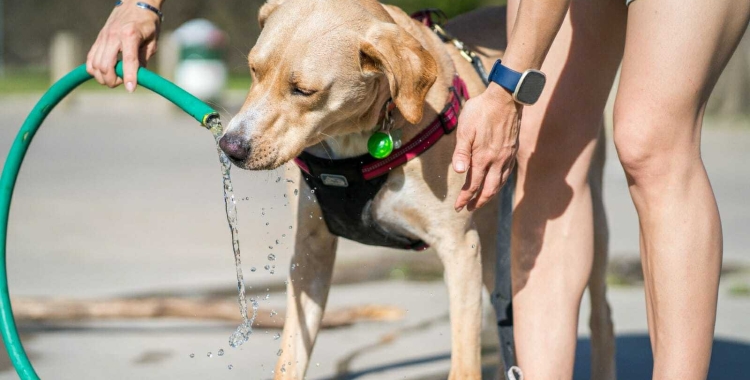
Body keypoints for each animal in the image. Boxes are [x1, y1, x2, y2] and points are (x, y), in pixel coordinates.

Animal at [219, 1, 616, 378]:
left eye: (303, 90)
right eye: (253, 70)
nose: (230, 146)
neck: (357, 143)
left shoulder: (460, 247)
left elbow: (464, 363)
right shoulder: (310, 251)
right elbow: (290, 358)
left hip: (584, 225)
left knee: (602, 316)